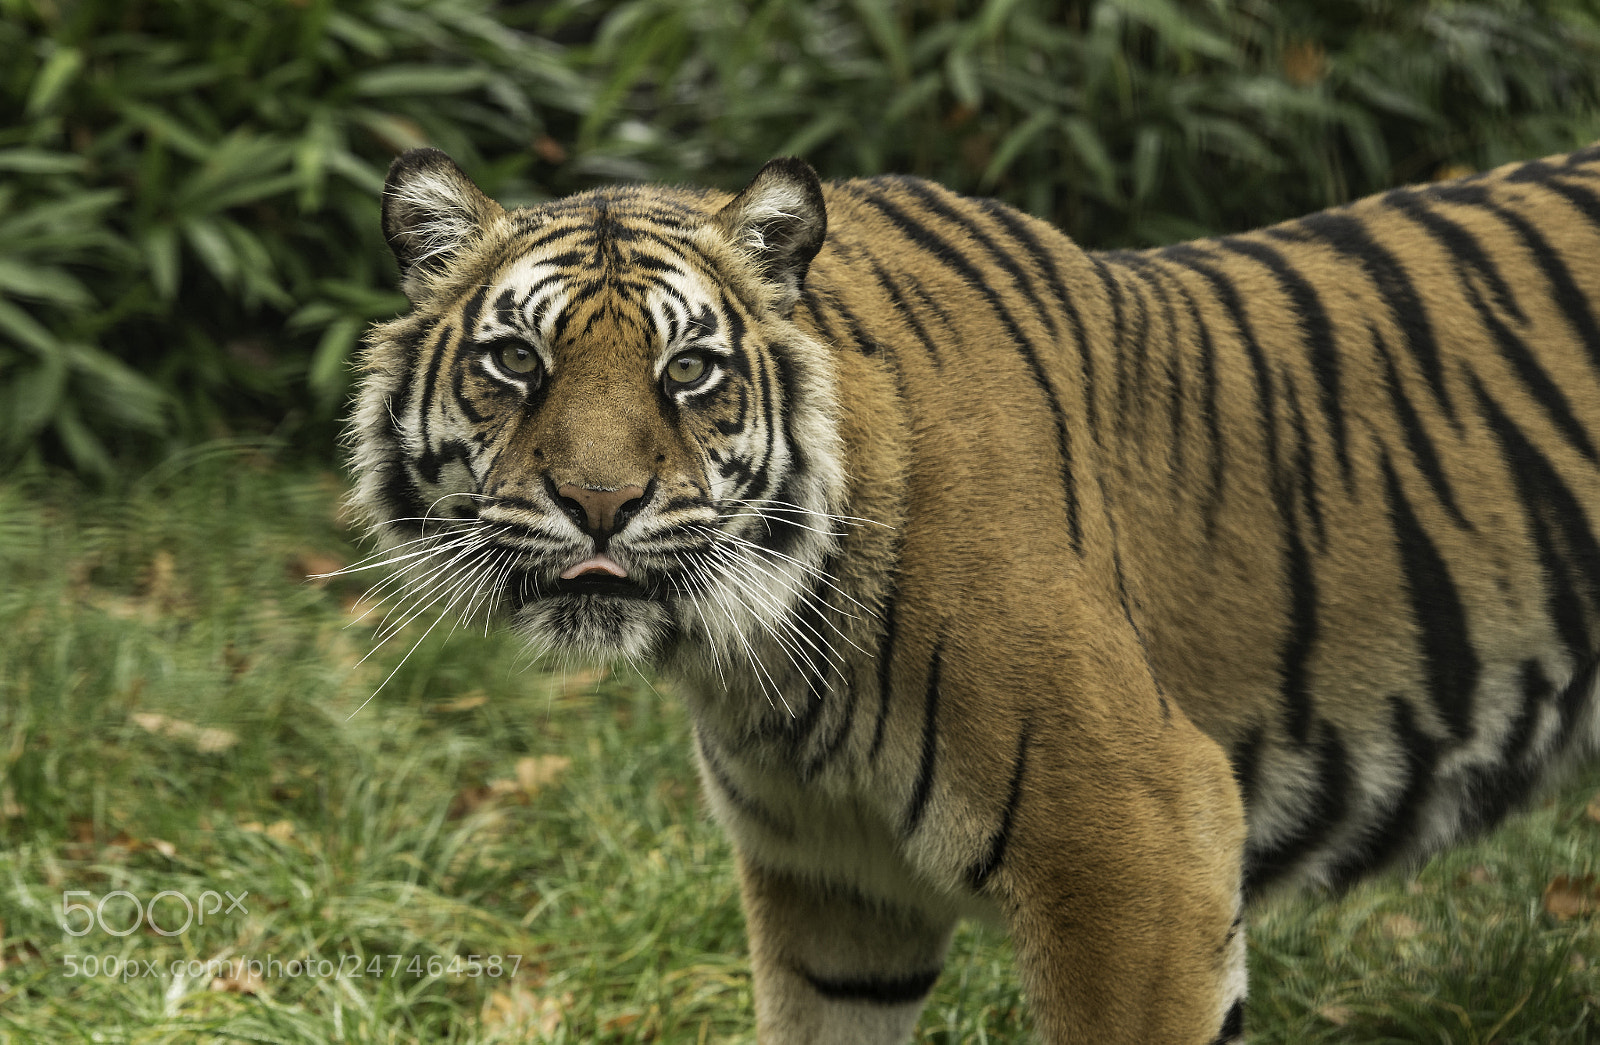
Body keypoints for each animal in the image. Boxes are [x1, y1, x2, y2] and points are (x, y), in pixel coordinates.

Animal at [345, 141, 1600, 1043]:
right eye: (518, 361)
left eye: (688, 369)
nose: (598, 504)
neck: (759, 652)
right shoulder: (833, 884)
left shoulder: (1140, 847)